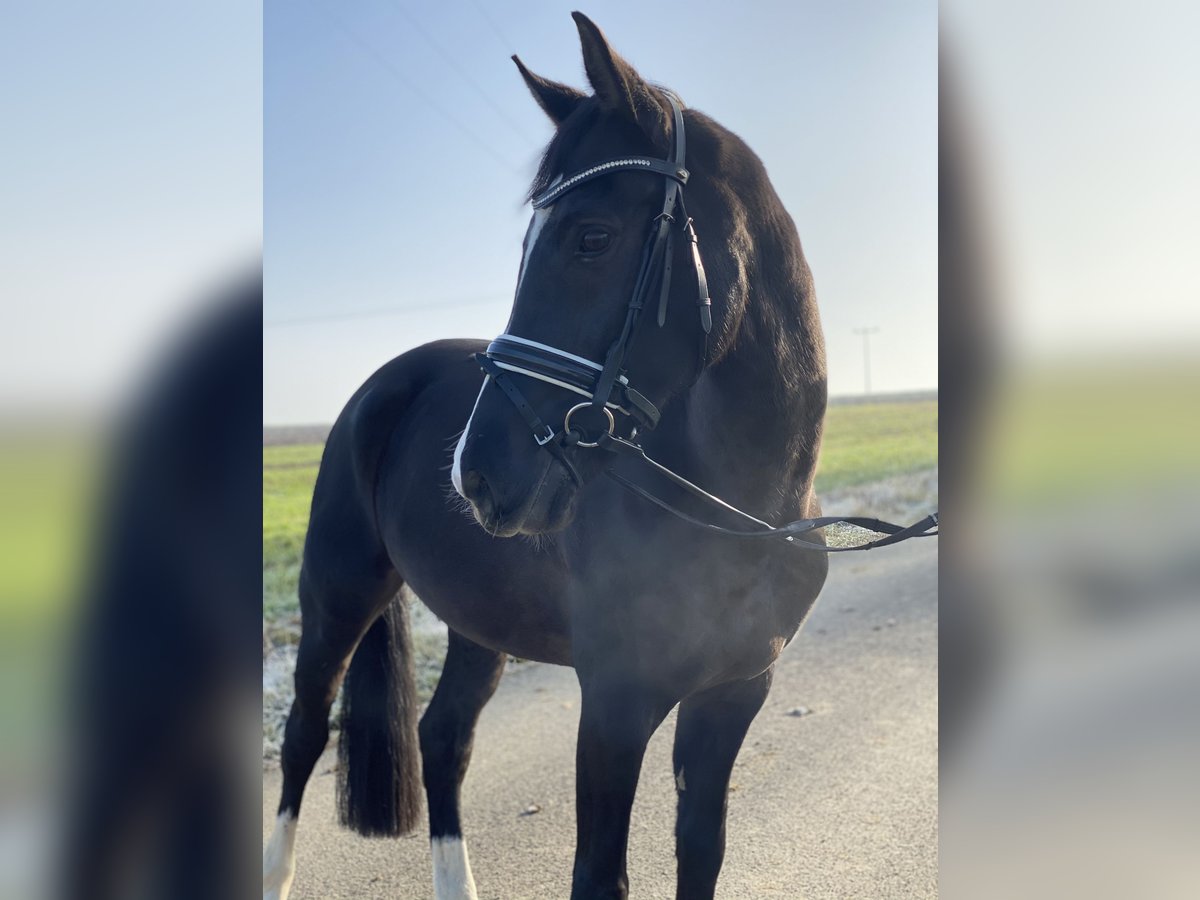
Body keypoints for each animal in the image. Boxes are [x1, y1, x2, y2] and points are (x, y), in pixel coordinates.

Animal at [265, 13, 830, 899]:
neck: (744, 518)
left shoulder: (733, 697)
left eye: (592, 236)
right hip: (336, 596)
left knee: (443, 737)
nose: (477, 474)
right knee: (303, 734)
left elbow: (701, 851)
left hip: (477, 620)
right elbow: (599, 875)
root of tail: (381, 388)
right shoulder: (614, 707)